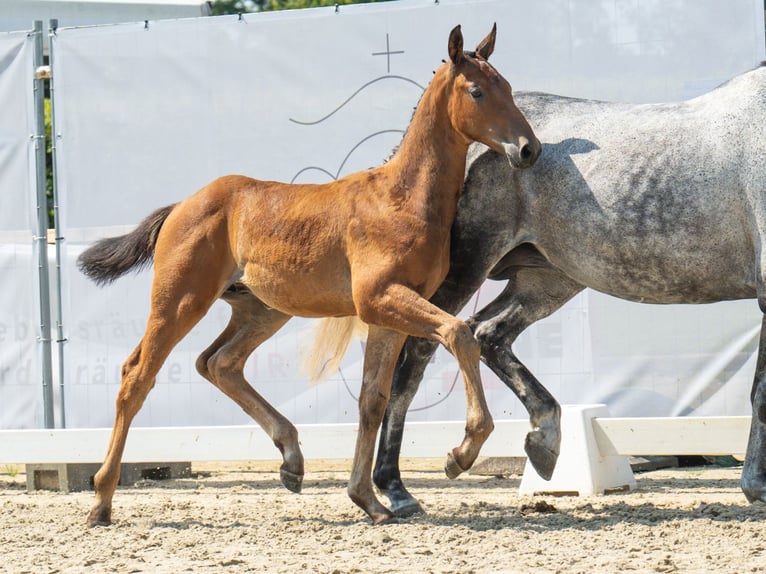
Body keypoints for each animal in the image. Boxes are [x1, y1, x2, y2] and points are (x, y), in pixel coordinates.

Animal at [78, 23, 540, 528]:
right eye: (477, 91)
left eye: (508, 88)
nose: (528, 149)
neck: (403, 198)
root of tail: (181, 205)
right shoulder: (379, 298)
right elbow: (459, 333)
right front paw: (462, 451)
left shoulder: (385, 315)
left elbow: (372, 399)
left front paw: (368, 500)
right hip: (180, 300)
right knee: (137, 375)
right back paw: (101, 500)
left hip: (261, 310)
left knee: (218, 363)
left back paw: (292, 459)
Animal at [374, 63, 766, 516]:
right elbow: (761, 393)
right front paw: (757, 486)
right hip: (468, 264)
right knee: (417, 352)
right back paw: (397, 487)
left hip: (549, 279)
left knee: (487, 334)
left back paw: (540, 442)